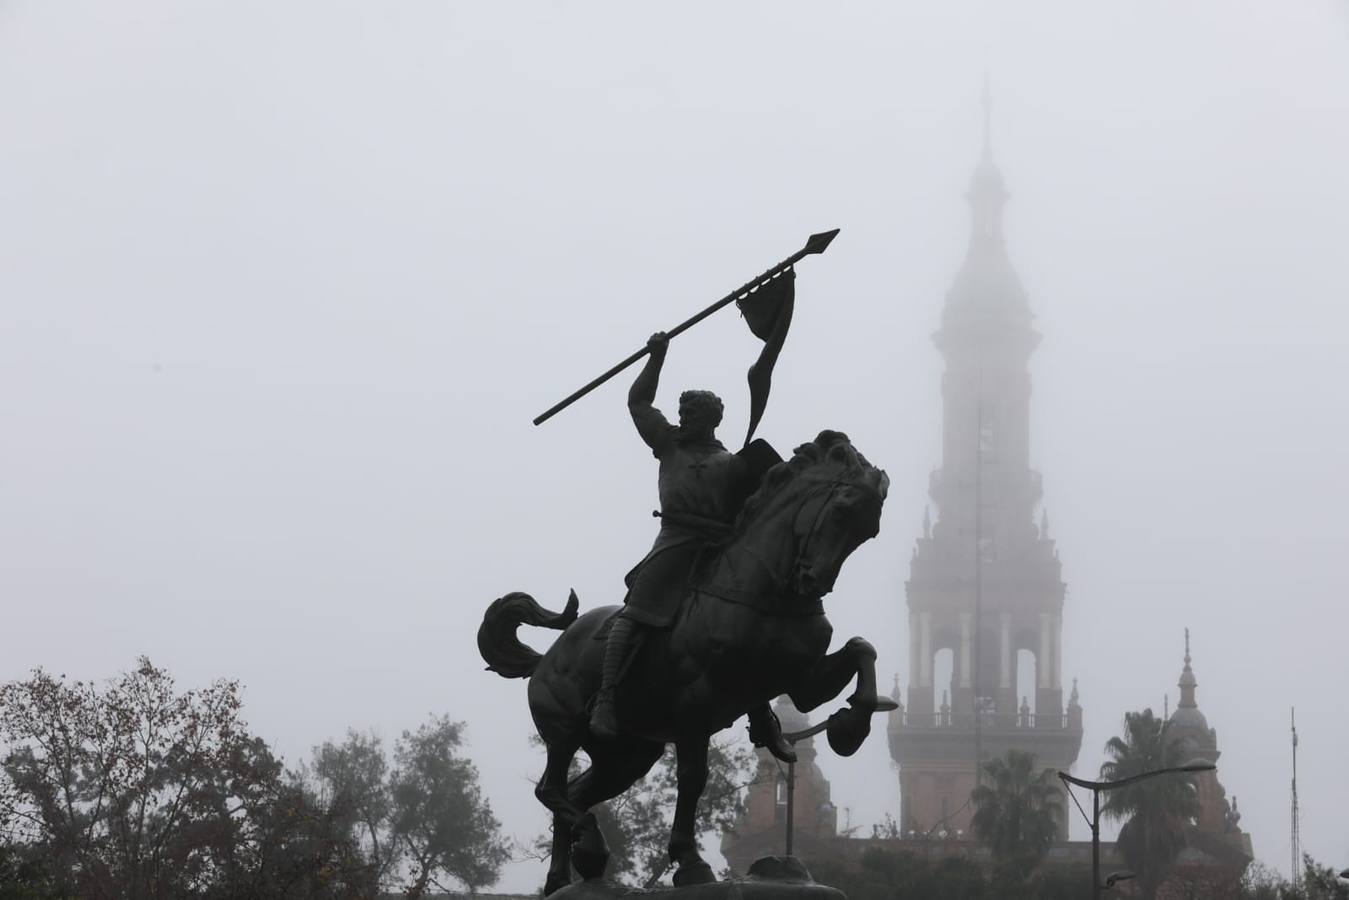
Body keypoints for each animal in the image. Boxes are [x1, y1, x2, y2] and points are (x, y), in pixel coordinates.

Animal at [480, 431, 890, 895]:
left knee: (575, 793)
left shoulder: (801, 683)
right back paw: (589, 845)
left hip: (626, 756)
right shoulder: (697, 704)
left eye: (869, 530)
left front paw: (850, 727)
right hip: (564, 730)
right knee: (550, 790)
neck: (765, 590)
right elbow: (693, 779)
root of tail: (544, 659)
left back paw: (564, 877)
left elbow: (862, 649)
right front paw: (691, 862)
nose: (811, 582)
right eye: (840, 509)